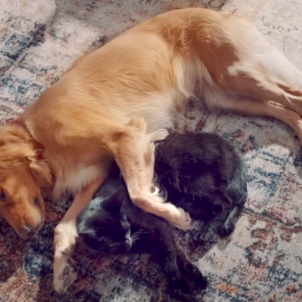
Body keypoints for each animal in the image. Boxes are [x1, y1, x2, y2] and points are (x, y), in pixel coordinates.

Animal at [76, 133, 247, 300]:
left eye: (124, 227)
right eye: (111, 243)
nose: (127, 243)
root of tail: (228, 145)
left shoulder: (160, 229)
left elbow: (169, 263)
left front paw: (183, 287)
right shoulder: (158, 243)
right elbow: (174, 258)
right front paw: (187, 285)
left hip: (190, 183)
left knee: (226, 202)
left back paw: (206, 233)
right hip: (187, 200)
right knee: (229, 202)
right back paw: (223, 225)